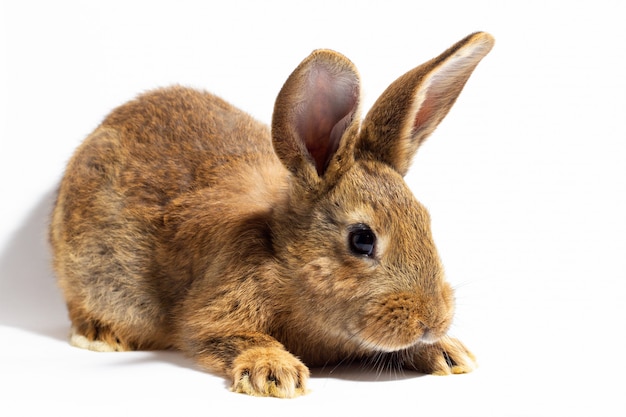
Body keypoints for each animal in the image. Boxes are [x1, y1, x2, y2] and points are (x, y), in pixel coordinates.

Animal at [50, 31, 492, 396]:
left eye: (426, 221)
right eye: (362, 239)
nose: (432, 320)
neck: (284, 263)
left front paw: (447, 354)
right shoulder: (213, 312)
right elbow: (225, 336)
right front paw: (276, 372)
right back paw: (100, 335)